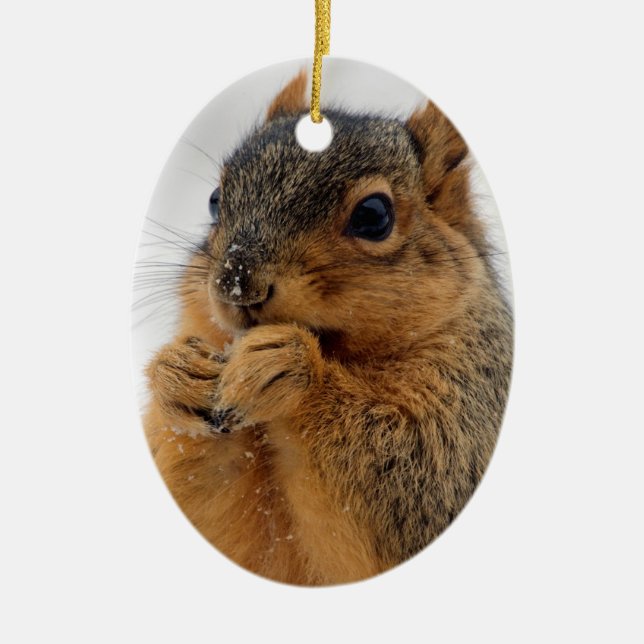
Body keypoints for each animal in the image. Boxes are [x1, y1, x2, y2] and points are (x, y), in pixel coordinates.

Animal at [143, 70, 513, 585]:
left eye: (374, 215)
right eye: (215, 202)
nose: (236, 281)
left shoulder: (468, 415)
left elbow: (411, 476)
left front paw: (291, 368)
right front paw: (177, 375)